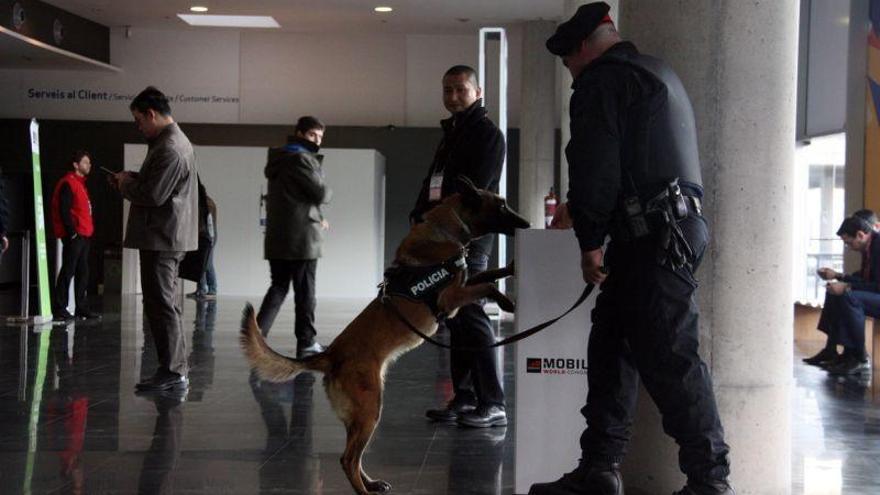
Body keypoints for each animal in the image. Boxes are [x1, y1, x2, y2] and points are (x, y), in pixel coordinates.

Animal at [239, 178, 528, 495]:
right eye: (501, 205)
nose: (527, 224)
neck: (446, 229)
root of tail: (330, 355)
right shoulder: (452, 299)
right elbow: (486, 285)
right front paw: (507, 302)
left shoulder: (464, 284)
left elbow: (489, 274)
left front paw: (511, 271)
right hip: (370, 409)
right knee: (348, 459)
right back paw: (364, 490)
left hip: (362, 415)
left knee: (353, 456)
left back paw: (372, 483)